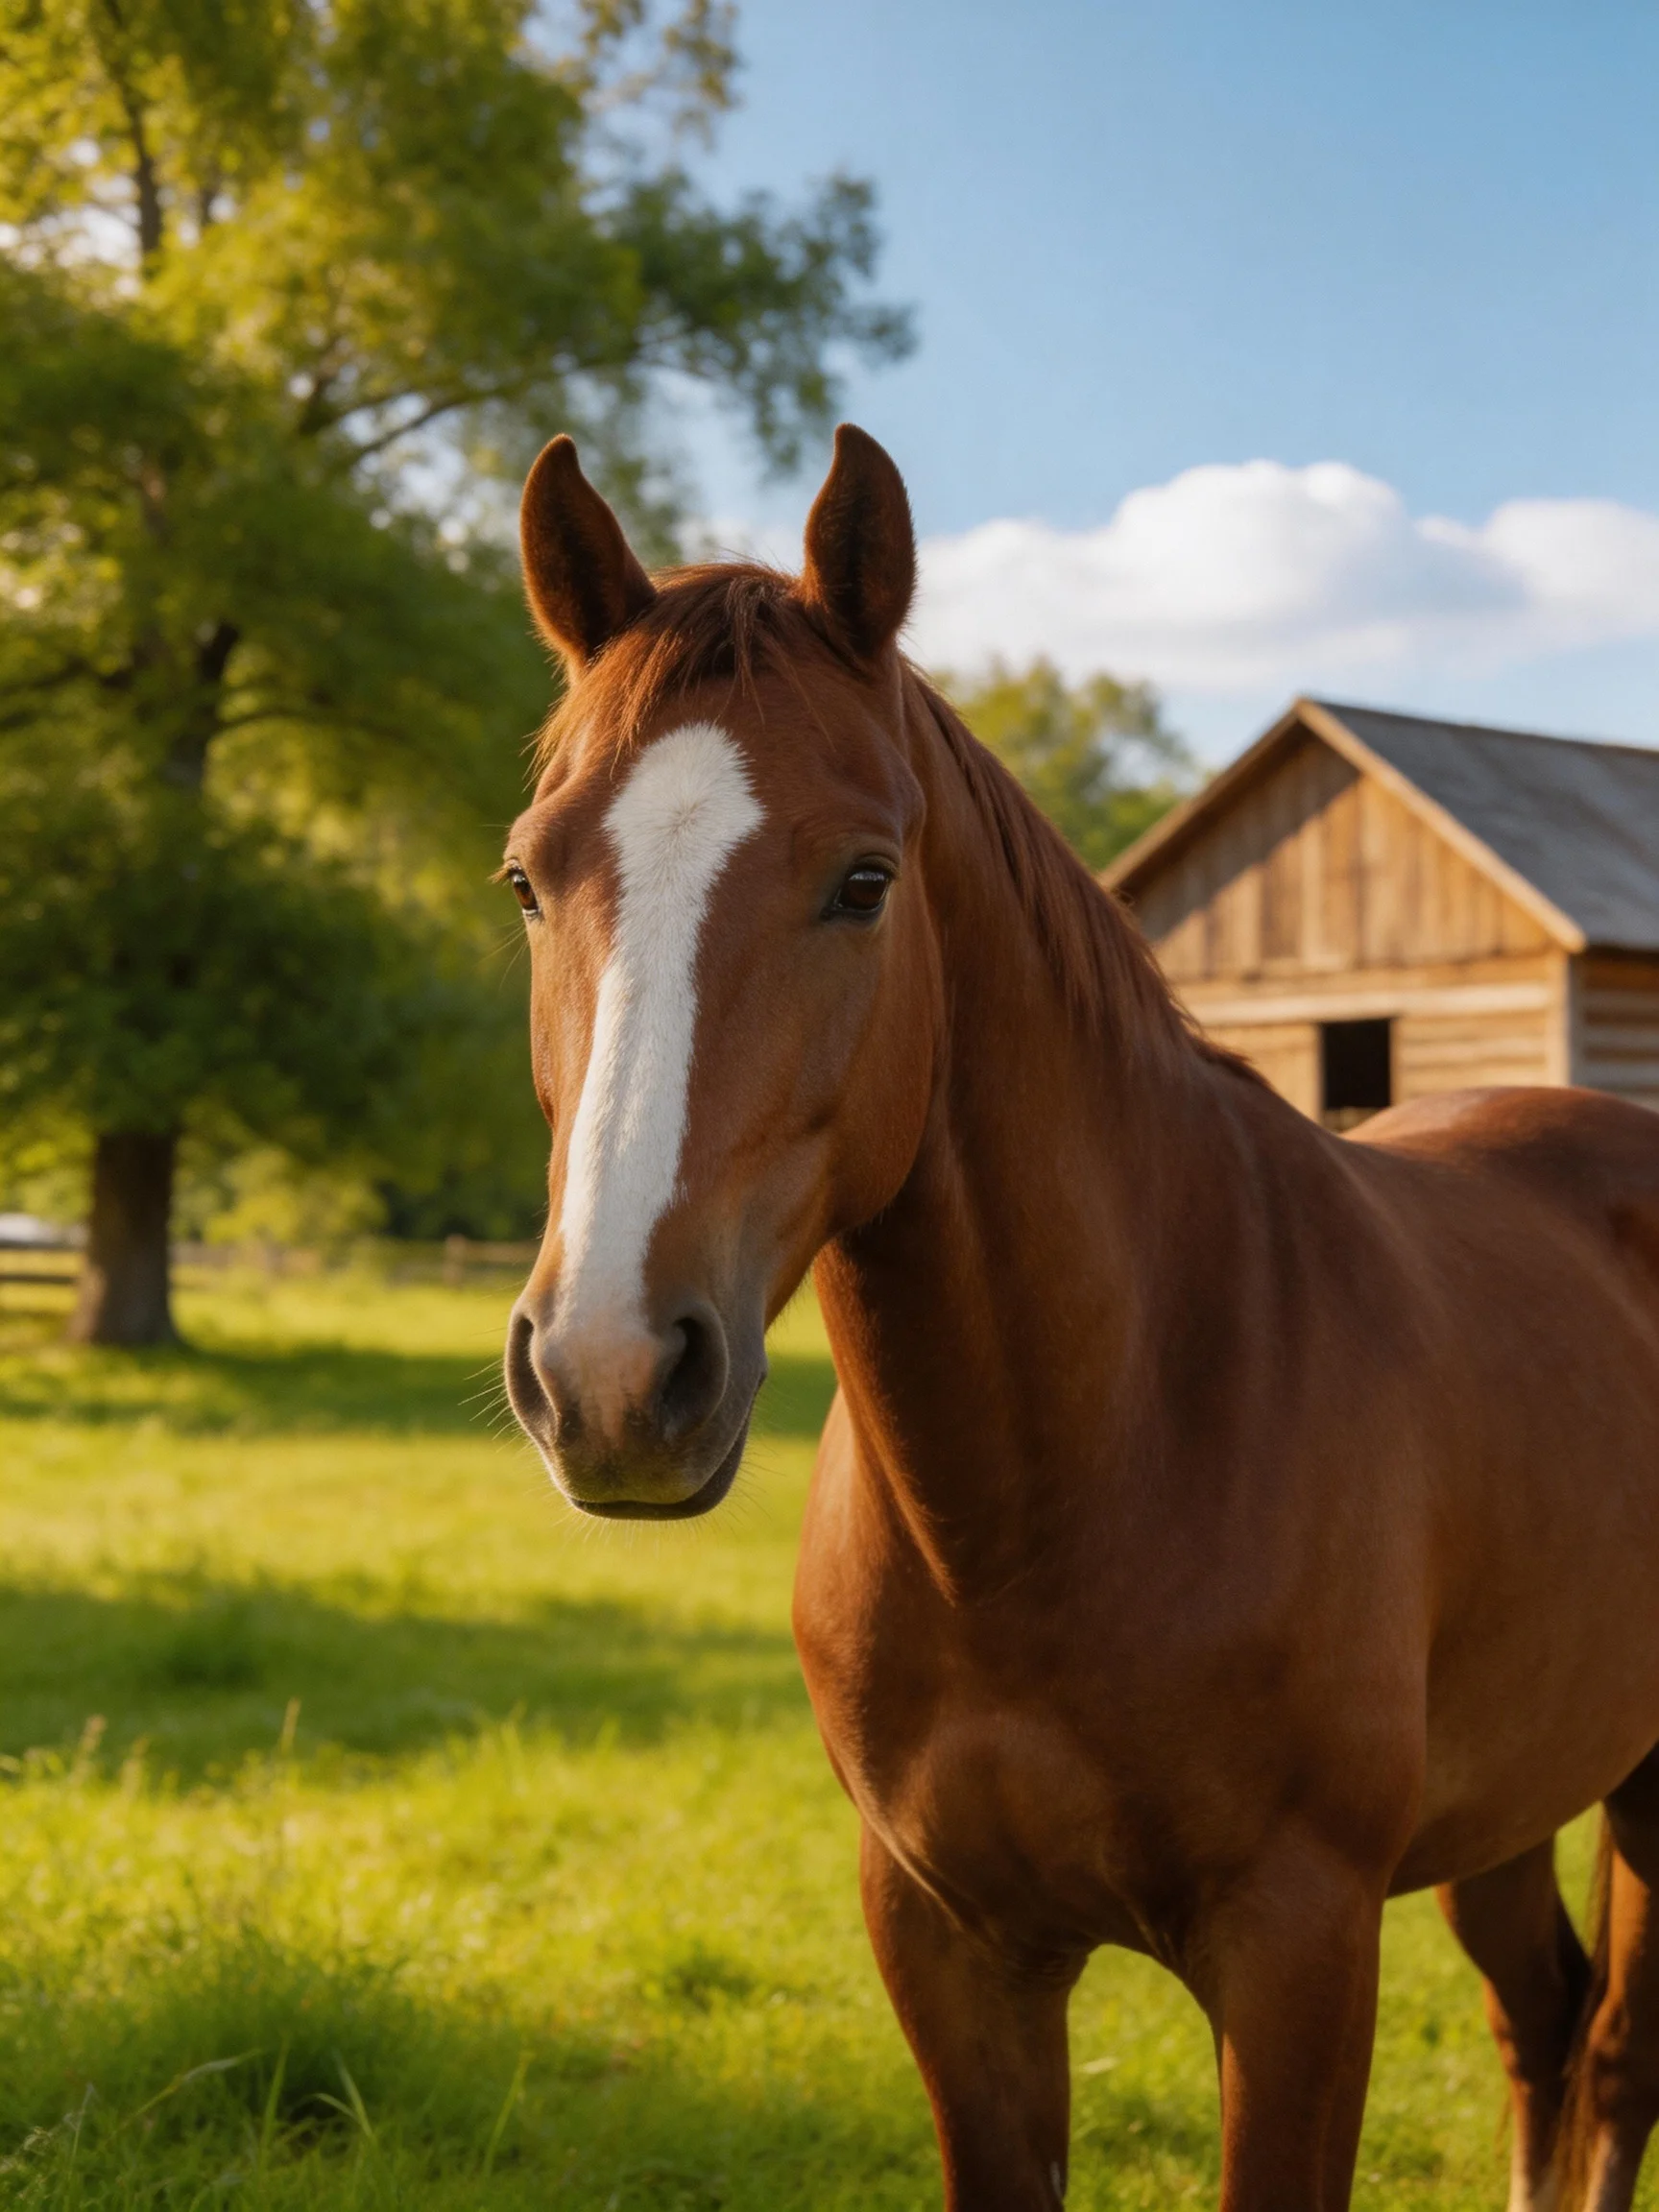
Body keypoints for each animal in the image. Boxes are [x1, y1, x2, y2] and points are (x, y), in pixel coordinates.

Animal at [500, 423, 1659, 2212]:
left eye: (863, 880)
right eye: (528, 882)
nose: (612, 1374)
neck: (1092, 1459)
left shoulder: (1298, 1953)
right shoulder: (951, 1947)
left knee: (1612, 2059)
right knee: (1546, 2026)